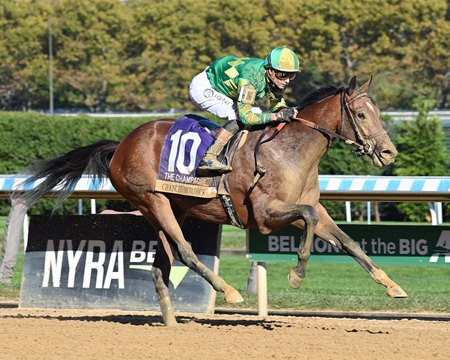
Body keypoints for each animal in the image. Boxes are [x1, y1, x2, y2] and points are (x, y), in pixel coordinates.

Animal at [19, 76, 408, 326]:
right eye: (361, 115)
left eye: (377, 113)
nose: (389, 152)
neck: (289, 151)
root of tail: (122, 144)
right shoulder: (265, 215)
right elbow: (309, 216)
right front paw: (297, 275)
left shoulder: (312, 211)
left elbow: (347, 240)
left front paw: (392, 285)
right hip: (152, 200)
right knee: (185, 252)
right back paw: (229, 291)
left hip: (168, 207)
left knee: (162, 264)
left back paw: (172, 323)